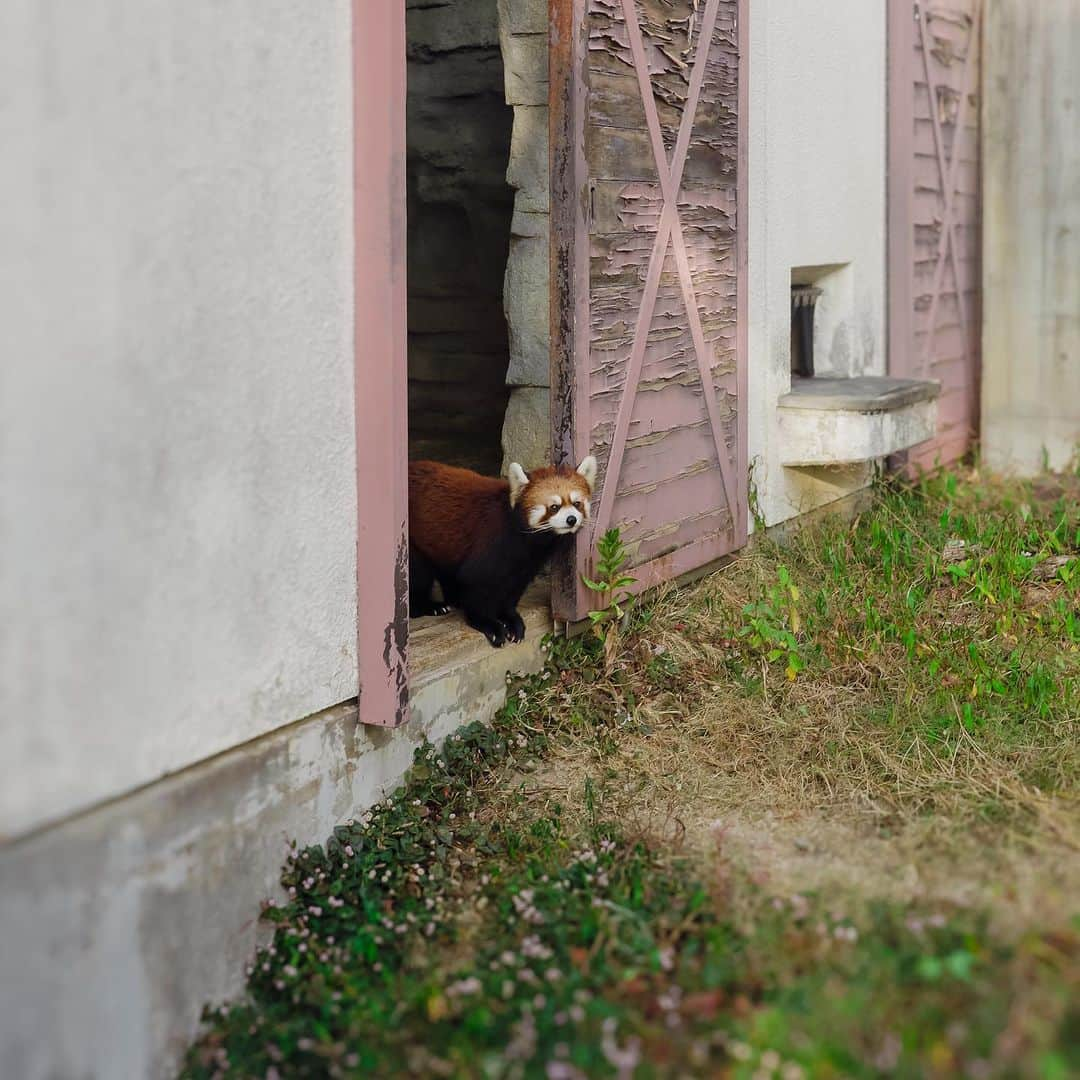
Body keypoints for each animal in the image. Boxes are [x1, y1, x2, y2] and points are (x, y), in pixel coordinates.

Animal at [410, 453, 600, 643]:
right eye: (554, 507)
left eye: (576, 503)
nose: (571, 519)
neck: (526, 540)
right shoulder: (488, 546)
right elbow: (475, 586)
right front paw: (488, 623)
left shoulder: (525, 563)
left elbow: (511, 591)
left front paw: (510, 619)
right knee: (418, 576)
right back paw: (428, 606)